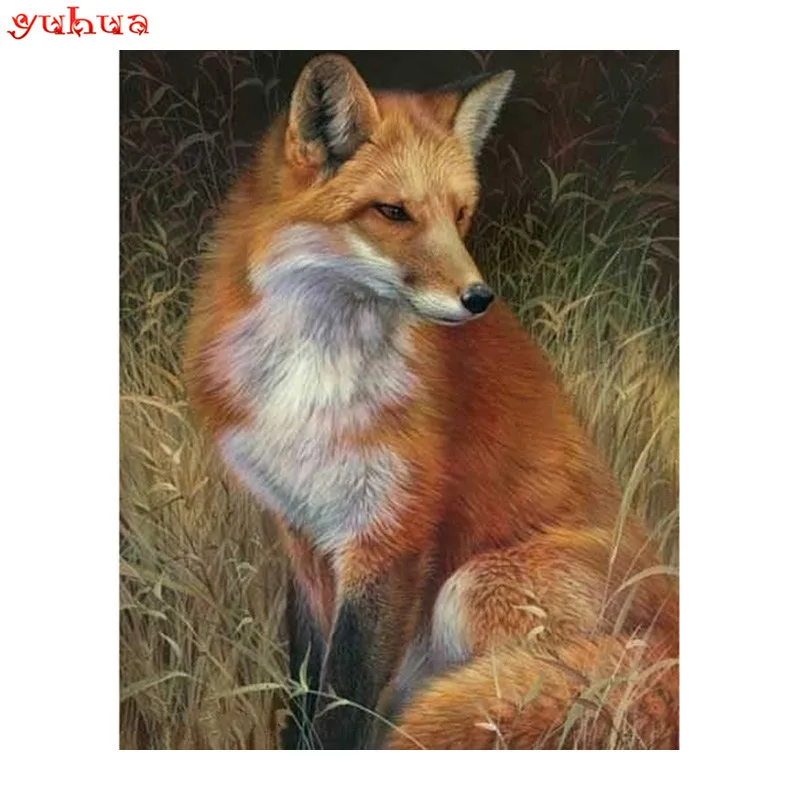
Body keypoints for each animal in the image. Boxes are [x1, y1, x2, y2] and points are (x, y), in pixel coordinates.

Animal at [183, 53, 679, 750]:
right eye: (393, 212)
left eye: (460, 213)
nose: (479, 298)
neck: (314, 378)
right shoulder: (303, 532)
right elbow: (307, 685)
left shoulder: (391, 530)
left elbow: (343, 704)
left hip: (474, 587)